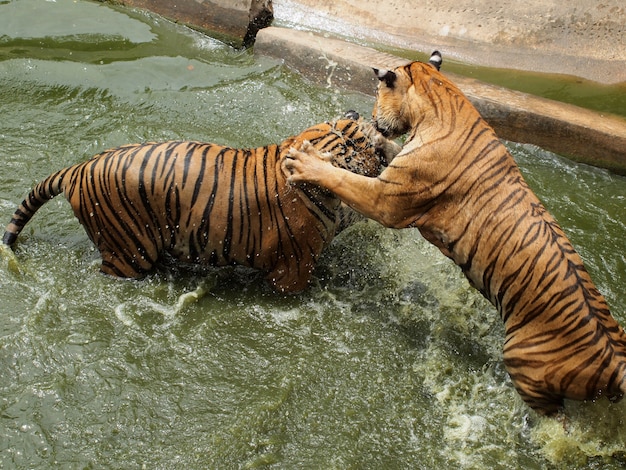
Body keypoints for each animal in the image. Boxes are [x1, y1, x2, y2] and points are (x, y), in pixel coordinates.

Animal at [2, 114, 398, 292]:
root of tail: (78, 168)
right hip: (127, 253)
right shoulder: (291, 271)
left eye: (358, 134)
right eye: (348, 147)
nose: (375, 139)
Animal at [284, 49, 624, 414]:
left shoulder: (384, 200)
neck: (439, 96)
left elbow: (342, 178)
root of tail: (615, 359)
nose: (371, 115)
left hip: (524, 367)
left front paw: (307, 161)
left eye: (376, 92)